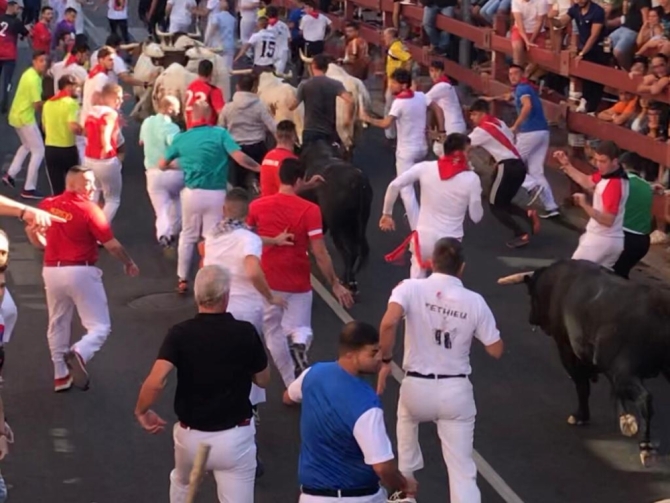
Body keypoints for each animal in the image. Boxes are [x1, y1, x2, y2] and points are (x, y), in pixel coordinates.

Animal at [302, 140, 376, 294]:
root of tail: (357, 183)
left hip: (339, 227)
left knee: (349, 252)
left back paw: (345, 281)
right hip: (359, 223)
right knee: (358, 250)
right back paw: (352, 282)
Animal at [504, 262, 670, 466]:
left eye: (530, 292)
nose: (531, 318)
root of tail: (659, 306)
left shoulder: (567, 350)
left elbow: (581, 385)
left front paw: (580, 416)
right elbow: (613, 392)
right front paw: (626, 420)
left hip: (626, 372)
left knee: (645, 398)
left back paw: (646, 448)